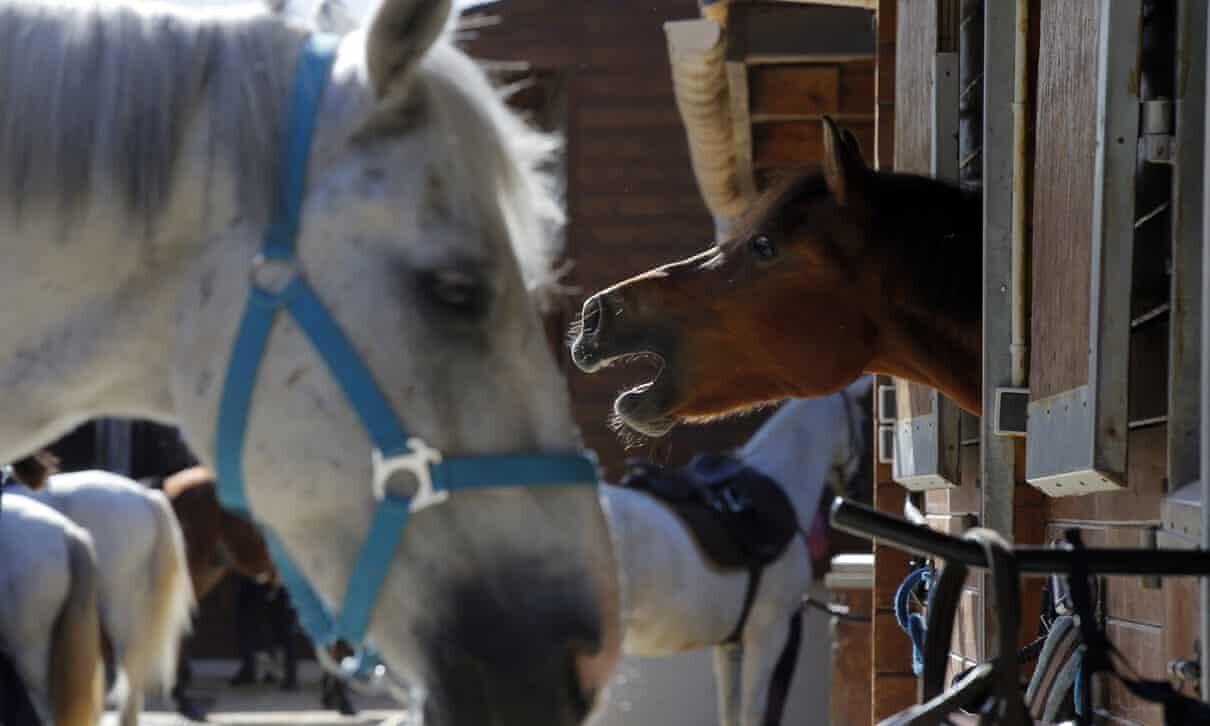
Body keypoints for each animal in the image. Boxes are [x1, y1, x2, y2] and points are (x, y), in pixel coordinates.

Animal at [602, 377, 871, 726]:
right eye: (863, 421)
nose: (860, 489)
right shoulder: (769, 634)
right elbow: (752, 713)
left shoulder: (729, 646)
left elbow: (730, 713)